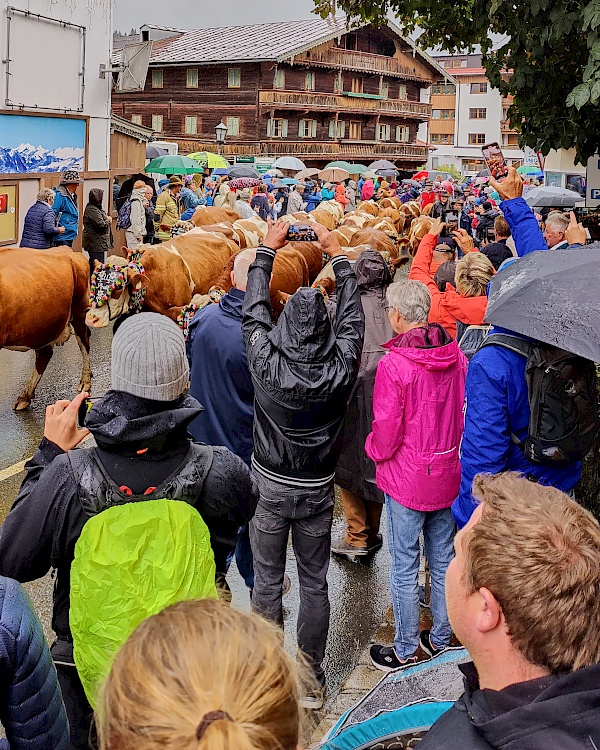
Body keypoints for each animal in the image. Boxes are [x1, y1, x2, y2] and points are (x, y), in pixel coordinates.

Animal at [0, 247, 91, 412]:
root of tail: (67, 250)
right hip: (41, 327)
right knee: (45, 354)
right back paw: (25, 396)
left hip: (79, 310)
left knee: (84, 343)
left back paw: (85, 381)